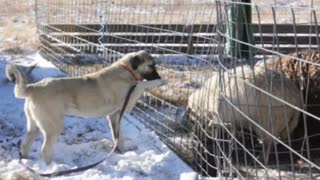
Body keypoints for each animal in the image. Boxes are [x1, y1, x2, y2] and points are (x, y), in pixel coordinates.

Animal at [5, 50, 164, 163]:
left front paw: (121, 151)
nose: (159, 77)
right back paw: (52, 166)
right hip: (53, 127)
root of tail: (32, 87)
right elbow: (141, 84)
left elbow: (118, 136)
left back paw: (28, 160)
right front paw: (159, 82)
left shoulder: (114, 115)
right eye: (151, 65)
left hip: (34, 126)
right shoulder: (129, 99)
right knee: (45, 150)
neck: (127, 70)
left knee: (25, 145)